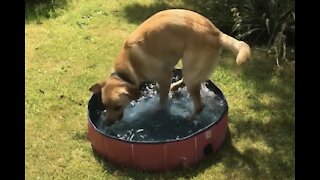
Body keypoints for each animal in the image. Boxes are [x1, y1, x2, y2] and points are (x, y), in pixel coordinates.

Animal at [89, 9, 250, 126]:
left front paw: (157, 110)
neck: (126, 70)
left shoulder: (164, 77)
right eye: (104, 106)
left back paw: (189, 119)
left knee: (199, 105)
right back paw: (176, 87)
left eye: (117, 106)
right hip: (190, 69)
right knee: (187, 81)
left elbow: (161, 103)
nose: (107, 124)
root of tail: (217, 34)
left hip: (191, 67)